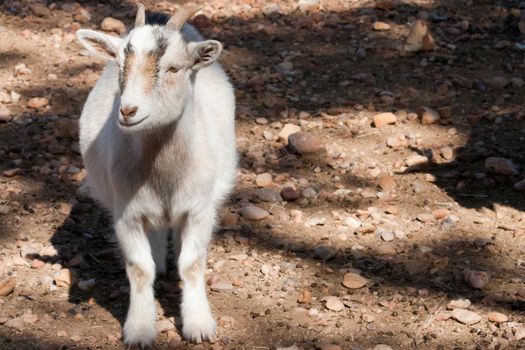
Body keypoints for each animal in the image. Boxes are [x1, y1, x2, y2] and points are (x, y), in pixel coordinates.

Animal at [74, 5, 236, 348]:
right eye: (119, 64)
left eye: (174, 68)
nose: (128, 111)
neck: (164, 176)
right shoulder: (127, 214)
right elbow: (139, 269)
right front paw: (139, 329)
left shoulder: (199, 209)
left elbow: (191, 264)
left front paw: (199, 325)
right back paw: (161, 260)